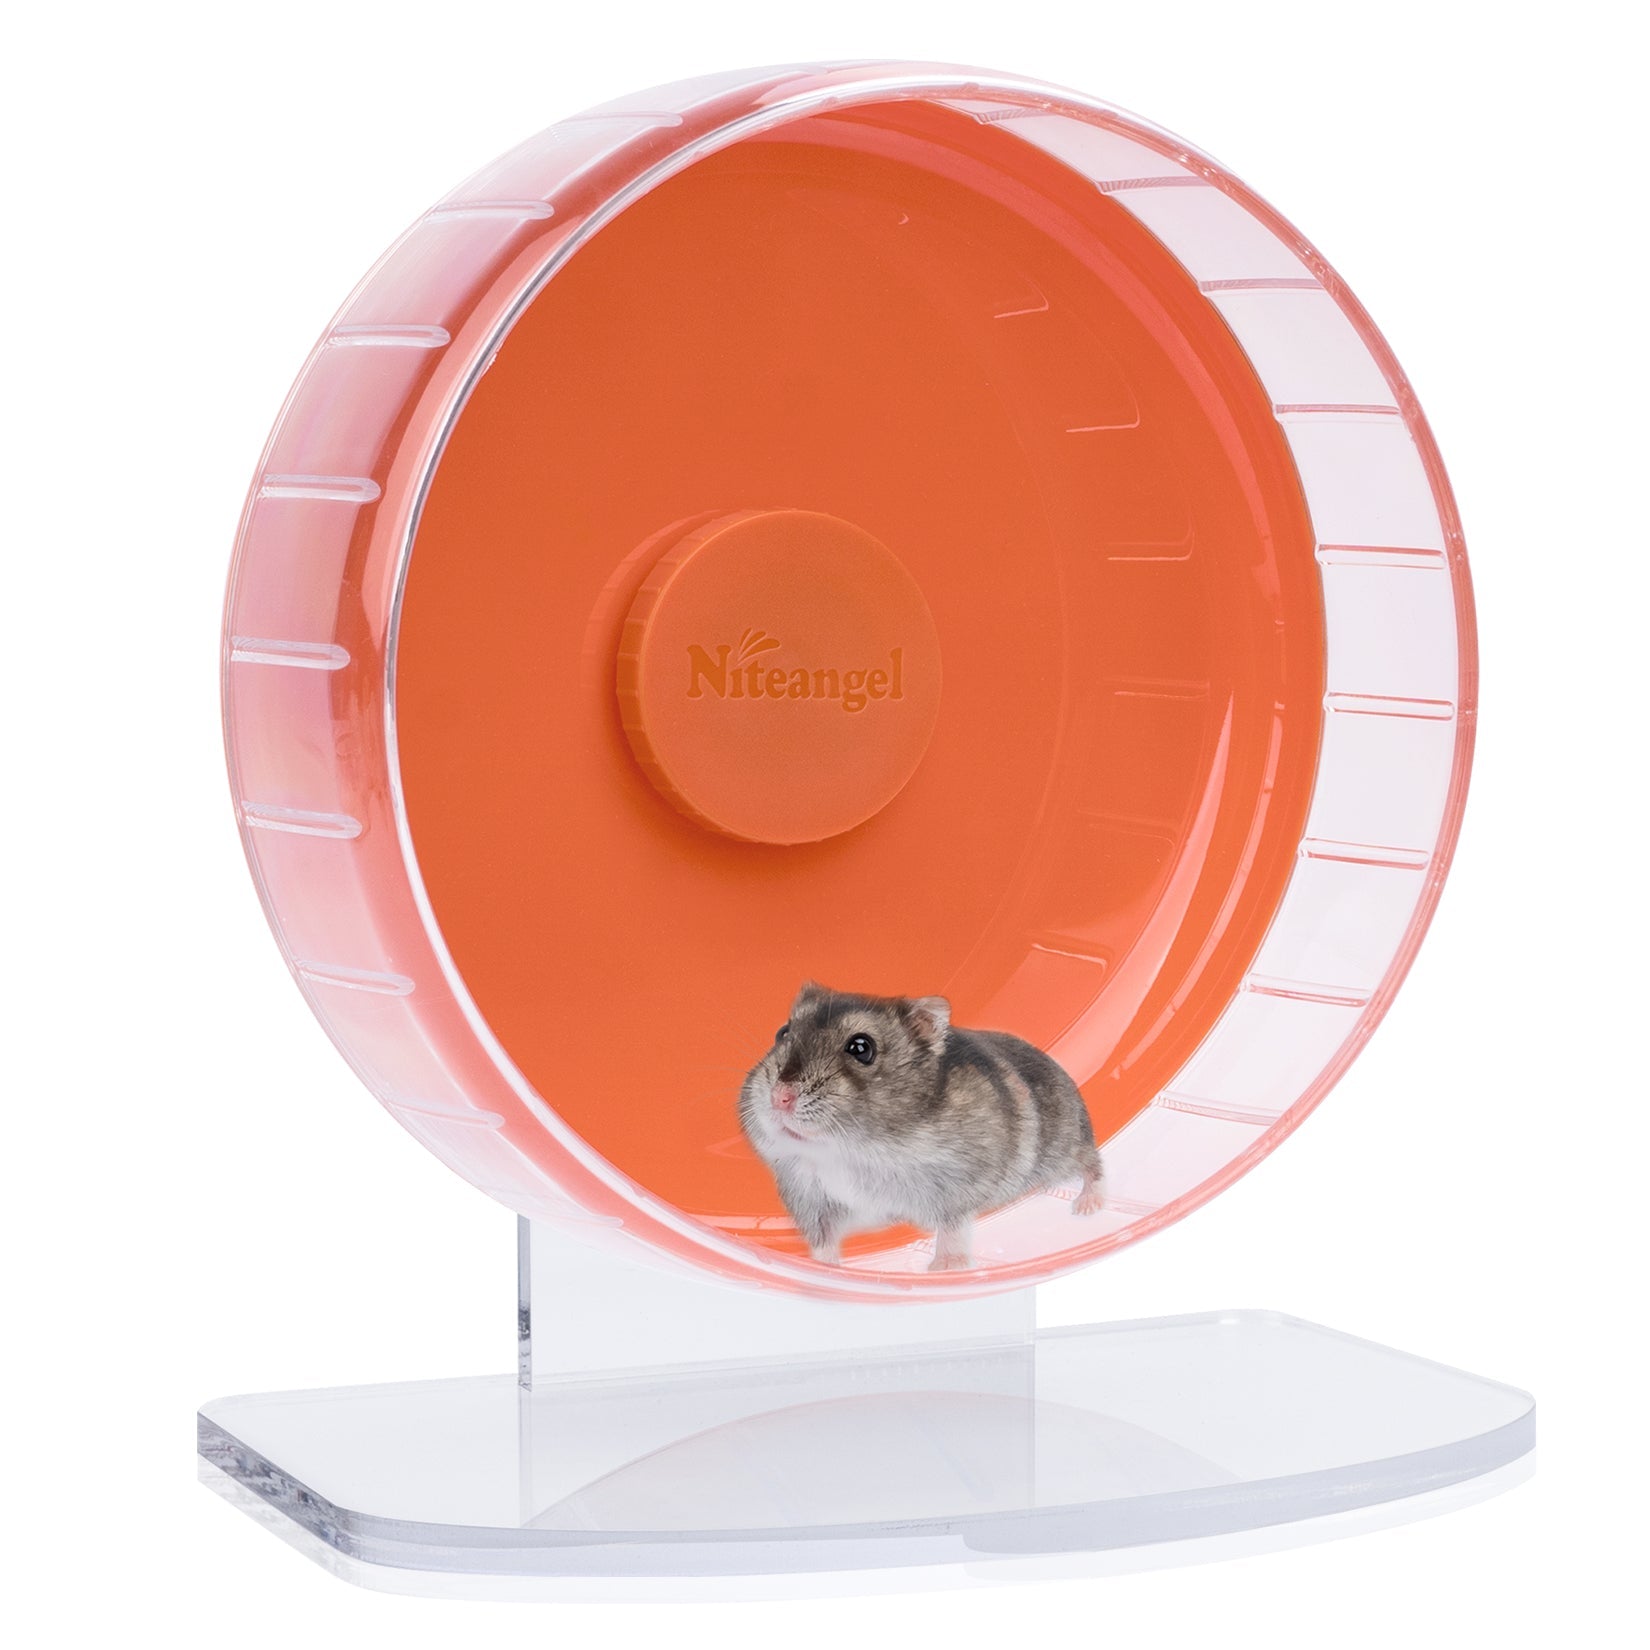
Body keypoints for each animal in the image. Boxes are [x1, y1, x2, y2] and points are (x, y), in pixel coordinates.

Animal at [738, 982, 1104, 1271]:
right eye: (783, 1033)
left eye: (861, 1047)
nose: (779, 1097)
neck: (854, 1149)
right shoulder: (810, 1198)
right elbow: (824, 1240)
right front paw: (824, 1269)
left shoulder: (960, 1185)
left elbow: (953, 1226)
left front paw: (946, 1268)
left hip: (1068, 1145)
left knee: (1093, 1165)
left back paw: (1088, 1207)